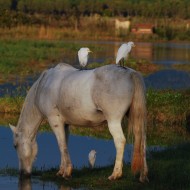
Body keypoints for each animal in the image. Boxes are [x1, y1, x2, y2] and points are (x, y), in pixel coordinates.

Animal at [9, 63, 148, 182]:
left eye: (15, 146)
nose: (22, 173)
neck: (44, 85)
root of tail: (130, 73)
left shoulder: (55, 121)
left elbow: (61, 144)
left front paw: (67, 172)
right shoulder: (65, 124)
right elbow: (64, 144)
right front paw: (61, 170)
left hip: (113, 120)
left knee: (120, 141)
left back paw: (116, 174)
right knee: (142, 141)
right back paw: (143, 176)